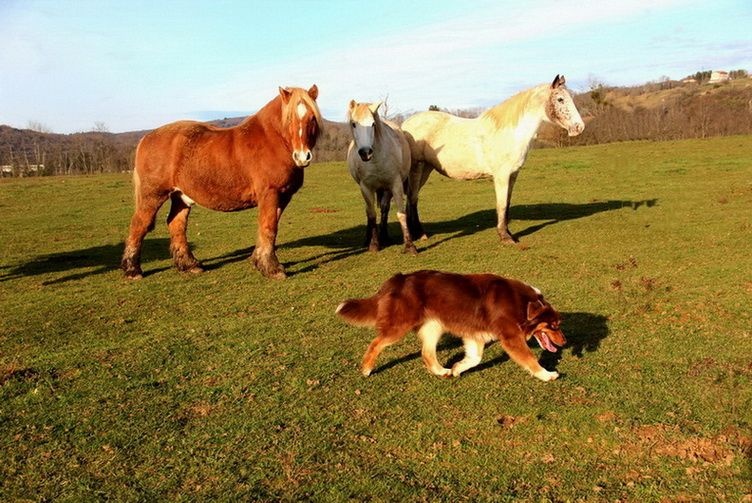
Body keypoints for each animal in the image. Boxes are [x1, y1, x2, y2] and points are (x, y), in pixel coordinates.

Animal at [122, 83, 322, 280]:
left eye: (312, 118)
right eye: (289, 119)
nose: (302, 156)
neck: (272, 139)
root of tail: (146, 138)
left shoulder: (283, 196)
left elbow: (269, 228)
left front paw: (260, 261)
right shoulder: (270, 193)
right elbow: (269, 227)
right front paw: (272, 268)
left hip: (181, 196)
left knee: (176, 224)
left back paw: (189, 265)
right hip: (153, 195)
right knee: (139, 224)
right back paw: (133, 270)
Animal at [334, 272, 564, 382]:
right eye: (553, 326)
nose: (565, 342)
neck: (520, 302)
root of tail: (397, 279)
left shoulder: (475, 335)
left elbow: (474, 358)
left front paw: (457, 368)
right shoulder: (511, 338)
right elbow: (530, 359)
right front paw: (547, 374)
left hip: (433, 326)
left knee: (426, 353)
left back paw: (441, 371)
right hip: (400, 325)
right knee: (376, 343)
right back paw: (366, 369)